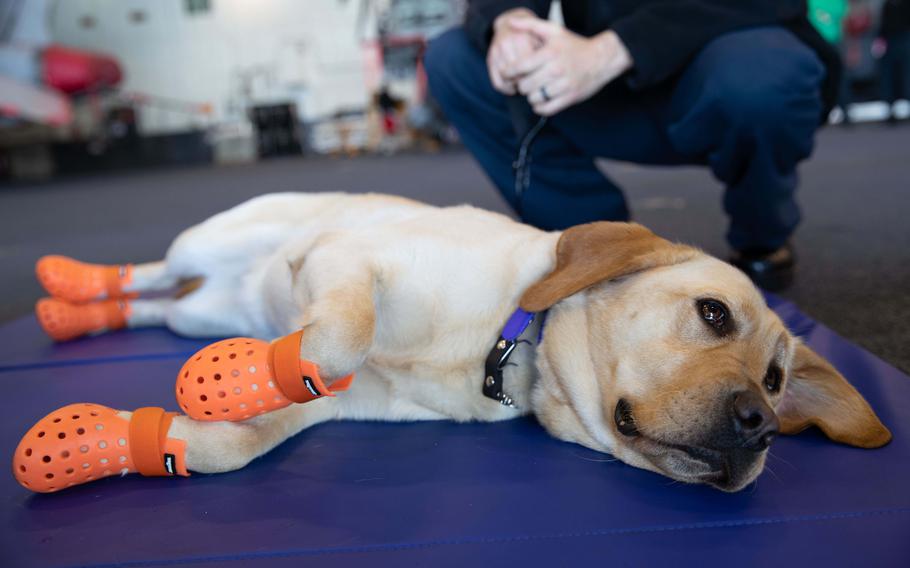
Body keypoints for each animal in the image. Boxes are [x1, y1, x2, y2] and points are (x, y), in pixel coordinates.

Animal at [53, 193, 896, 490]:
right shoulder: (345, 257)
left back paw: (80, 313)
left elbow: (245, 439)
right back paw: (69, 285)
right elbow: (335, 343)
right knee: (151, 271)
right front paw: (240, 377)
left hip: (192, 310)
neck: (508, 346)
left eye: (778, 380)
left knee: (150, 307)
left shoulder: (350, 400)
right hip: (205, 244)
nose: (761, 426)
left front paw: (143, 438)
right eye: (715, 314)